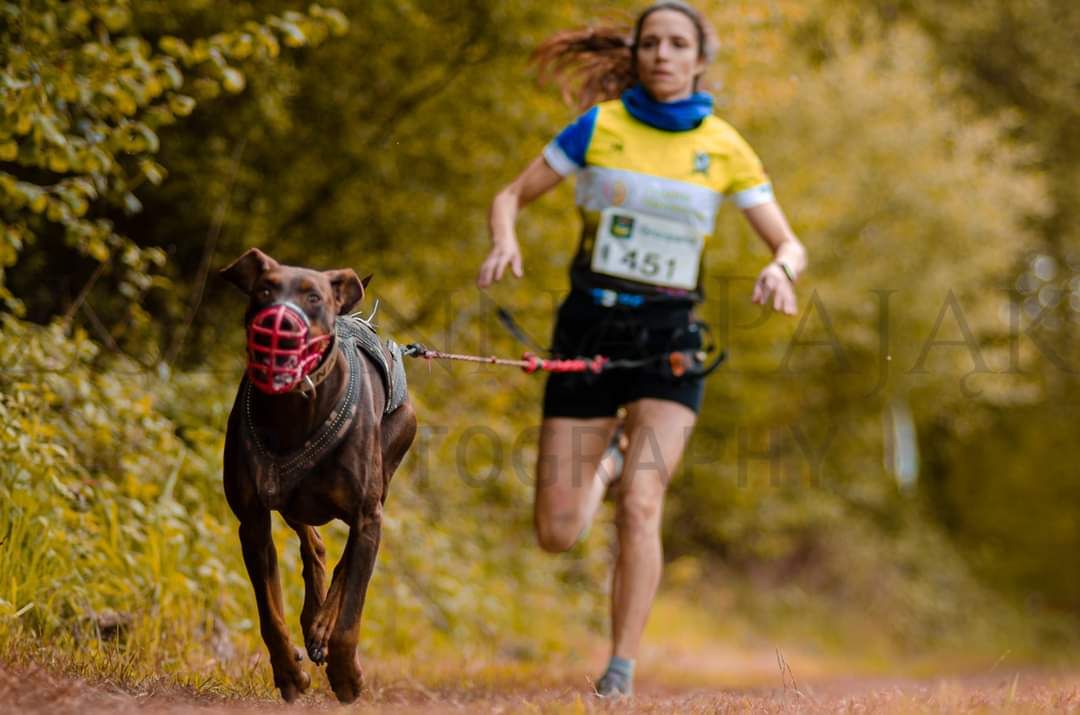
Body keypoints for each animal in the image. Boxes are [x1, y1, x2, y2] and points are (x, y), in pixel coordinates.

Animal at [220, 249, 416, 704]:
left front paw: (346, 673)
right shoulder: (252, 521)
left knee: (343, 562)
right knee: (316, 546)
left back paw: (321, 625)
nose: (281, 322)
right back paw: (312, 617)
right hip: (295, 499)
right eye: (265, 290)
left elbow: (351, 611)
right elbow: (269, 613)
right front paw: (289, 673)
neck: (294, 408)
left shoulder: (367, 516)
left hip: (386, 471)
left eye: (314, 297)